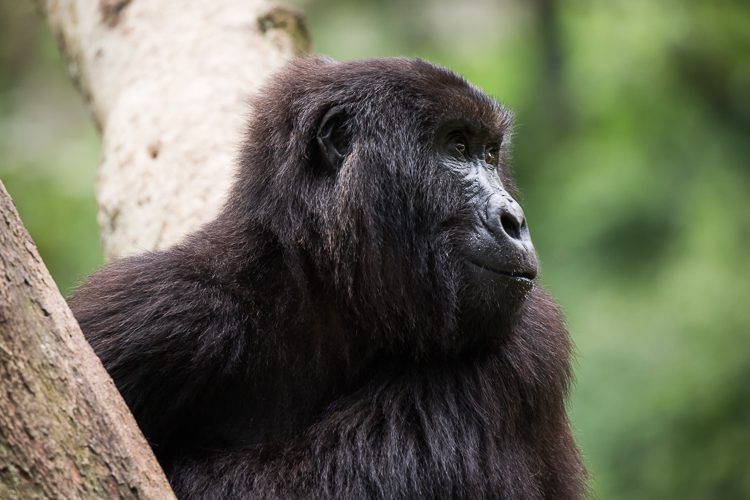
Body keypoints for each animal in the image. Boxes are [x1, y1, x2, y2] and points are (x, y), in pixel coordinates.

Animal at [70, 57, 586, 499]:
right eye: (457, 147)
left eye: (490, 154)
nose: (514, 220)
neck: (332, 294)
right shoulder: (162, 309)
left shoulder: (527, 340)